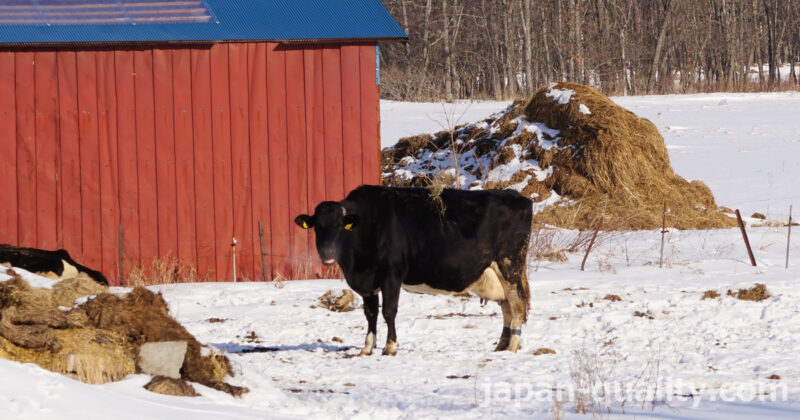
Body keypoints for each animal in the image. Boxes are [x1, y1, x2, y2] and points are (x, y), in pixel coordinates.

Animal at [294, 185, 532, 356]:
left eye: (339, 226)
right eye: (317, 226)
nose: (327, 253)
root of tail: (517, 196)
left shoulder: (392, 274)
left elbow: (389, 311)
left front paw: (390, 347)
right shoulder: (368, 282)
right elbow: (370, 314)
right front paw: (367, 348)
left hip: (509, 264)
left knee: (517, 304)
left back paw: (512, 346)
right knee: (507, 306)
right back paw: (502, 346)